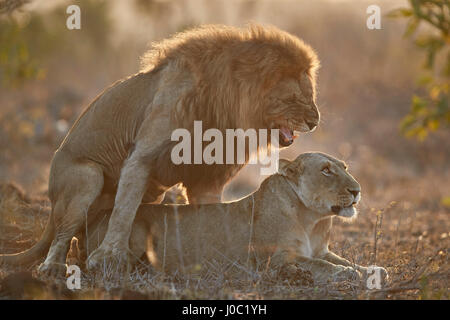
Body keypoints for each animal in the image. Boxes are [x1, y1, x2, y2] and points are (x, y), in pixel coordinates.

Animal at [0, 23, 320, 276]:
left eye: (311, 95)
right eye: (295, 98)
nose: (315, 121)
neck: (223, 104)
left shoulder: (208, 177)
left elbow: (209, 213)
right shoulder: (141, 157)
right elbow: (124, 210)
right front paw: (108, 258)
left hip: (152, 192)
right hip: (87, 176)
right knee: (62, 234)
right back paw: (53, 267)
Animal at [74, 152, 386, 282]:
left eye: (344, 167)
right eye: (325, 170)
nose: (357, 190)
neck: (313, 220)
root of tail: (92, 220)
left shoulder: (322, 249)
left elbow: (342, 260)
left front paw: (373, 269)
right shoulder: (276, 259)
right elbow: (322, 267)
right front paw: (349, 274)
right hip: (135, 229)